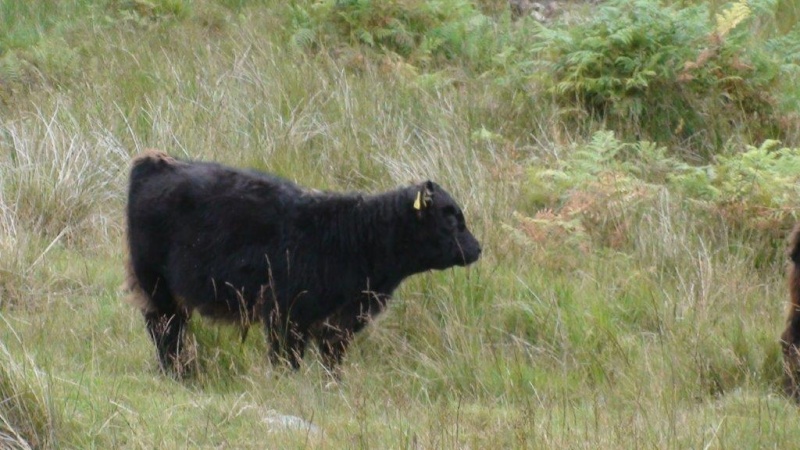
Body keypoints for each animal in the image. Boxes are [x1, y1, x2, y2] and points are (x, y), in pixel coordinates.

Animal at [122, 149, 478, 374]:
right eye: (451, 218)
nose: (477, 248)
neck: (357, 236)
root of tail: (159, 162)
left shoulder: (339, 324)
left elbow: (332, 363)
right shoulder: (286, 315)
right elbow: (287, 360)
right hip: (155, 285)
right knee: (165, 331)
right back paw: (178, 373)